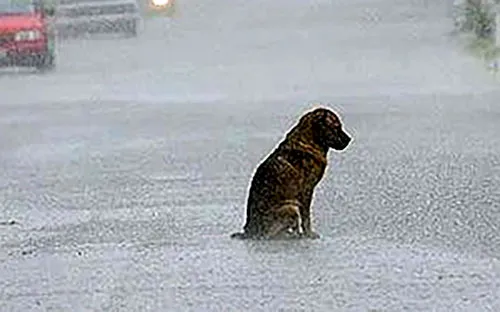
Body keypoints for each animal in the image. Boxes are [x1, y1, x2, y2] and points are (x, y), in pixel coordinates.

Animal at [230, 106, 352, 240]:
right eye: (336, 127)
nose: (349, 139)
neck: (310, 141)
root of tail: (250, 231)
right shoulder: (306, 191)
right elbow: (306, 217)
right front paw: (309, 233)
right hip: (291, 208)